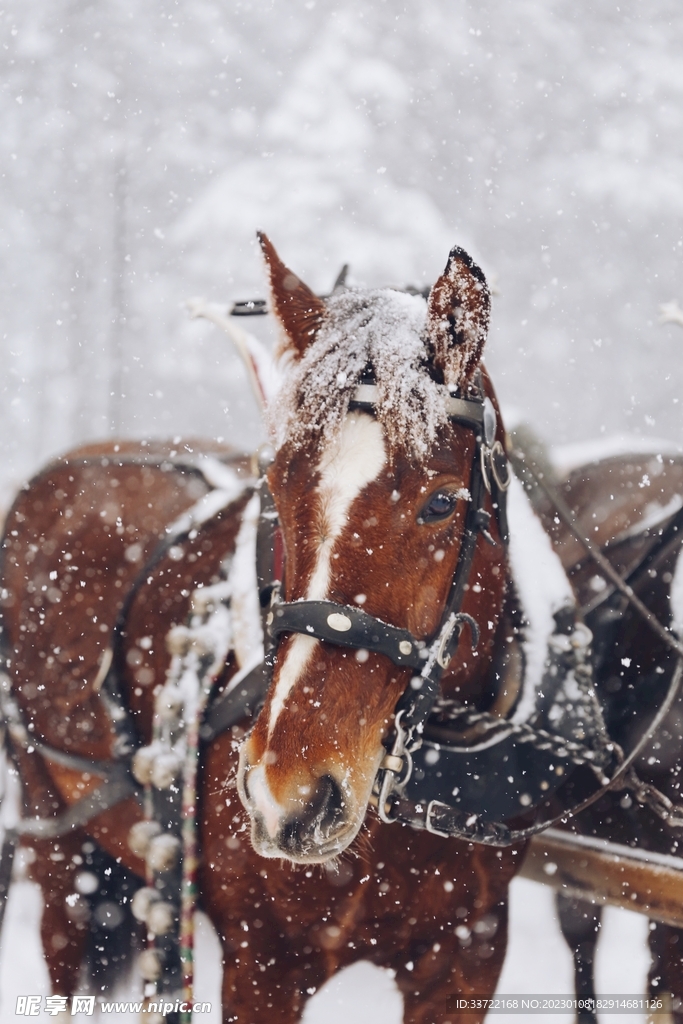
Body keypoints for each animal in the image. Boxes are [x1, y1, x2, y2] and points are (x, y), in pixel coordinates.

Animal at [0, 233, 671, 1023]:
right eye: (277, 482)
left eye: (442, 502)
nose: (285, 794)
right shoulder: (263, 966)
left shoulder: (467, 953)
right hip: (54, 828)